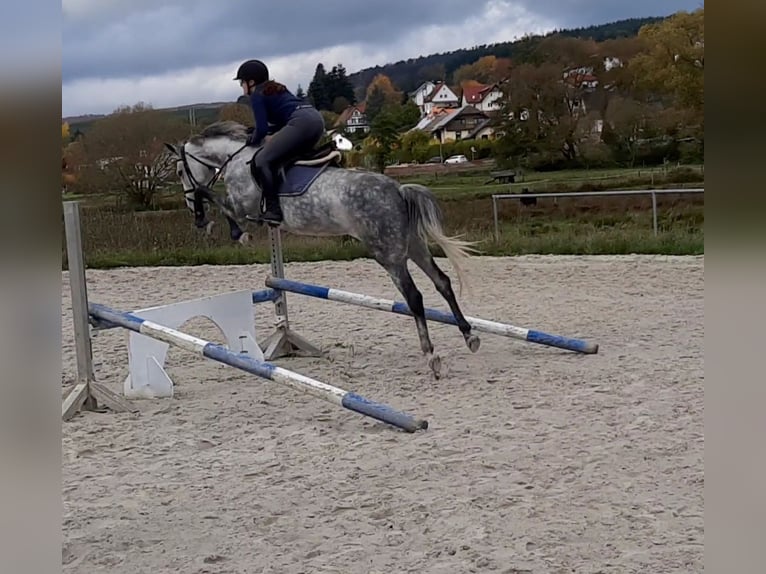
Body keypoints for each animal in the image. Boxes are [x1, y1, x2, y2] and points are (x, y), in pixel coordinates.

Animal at [166, 120, 484, 380]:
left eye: (181, 170)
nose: (194, 214)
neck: (236, 159)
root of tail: (398, 190)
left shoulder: (243, 209)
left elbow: (216, 199)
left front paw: (230, 231)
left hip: (389, 254)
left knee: (414, 297)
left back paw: (431, 356)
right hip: (413, 247)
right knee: (442, 281)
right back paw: (469, 336)